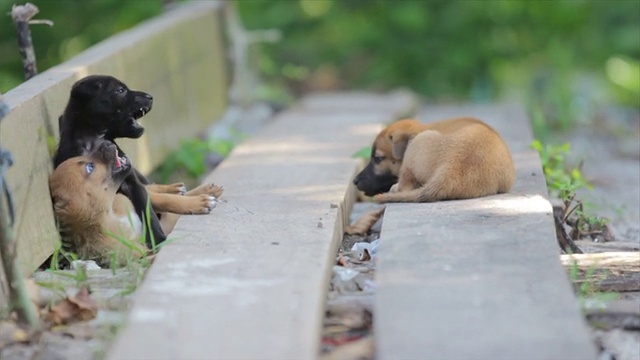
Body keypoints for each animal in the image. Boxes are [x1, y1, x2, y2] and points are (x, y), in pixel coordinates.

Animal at [53, 74, 166, 246]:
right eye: (120, 91)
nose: (150, 97)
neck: (94, 139)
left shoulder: (132, 183)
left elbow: (147, 212)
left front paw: (159, 240)